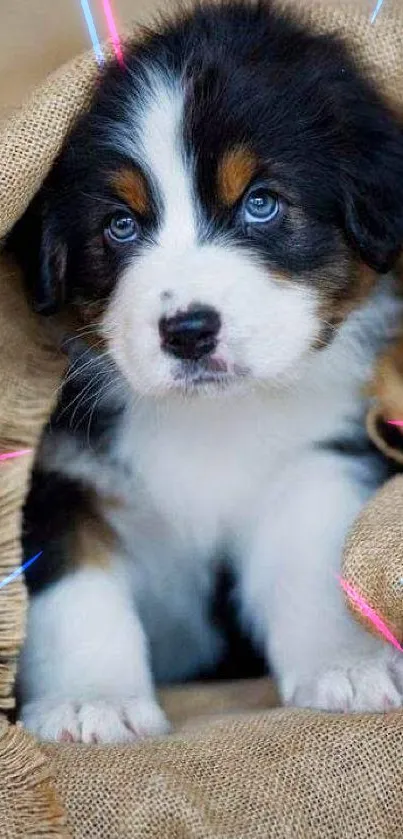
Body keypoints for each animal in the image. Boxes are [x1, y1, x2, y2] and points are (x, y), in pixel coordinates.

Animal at [7, 0, 403, 744]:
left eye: (261, 203)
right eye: (120, 225)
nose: (188, 331)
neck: (212, 417)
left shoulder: (322, 450)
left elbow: (313, 556)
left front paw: (349, 662)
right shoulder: (61, 474)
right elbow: (76, 591)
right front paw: (89, 702)